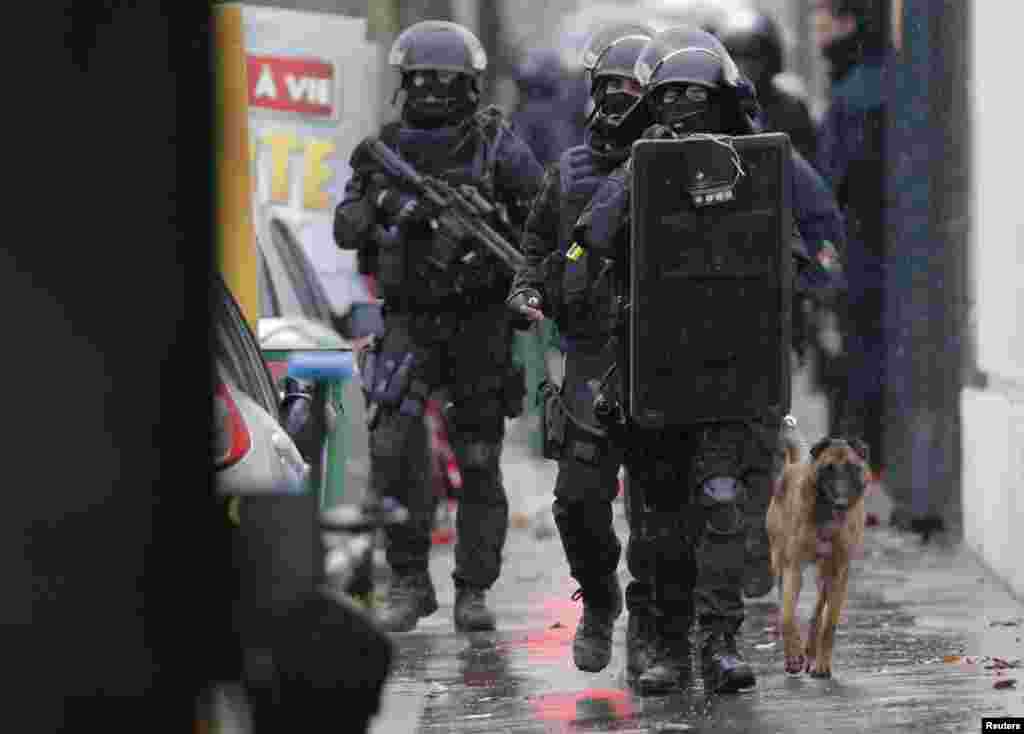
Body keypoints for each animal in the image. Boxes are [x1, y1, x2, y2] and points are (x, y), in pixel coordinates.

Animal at [765, 432, 868, 679]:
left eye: (851, 468)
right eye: (828, 468)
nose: (841, 503)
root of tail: (792, 464)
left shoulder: (838, 571)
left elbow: (829, 623)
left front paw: (821, 665)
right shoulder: (792, 568)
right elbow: (787, 616)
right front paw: (793, 658)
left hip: (824, 573)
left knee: (817, 612)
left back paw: (811, 652)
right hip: (779, 563)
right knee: (786, 605)